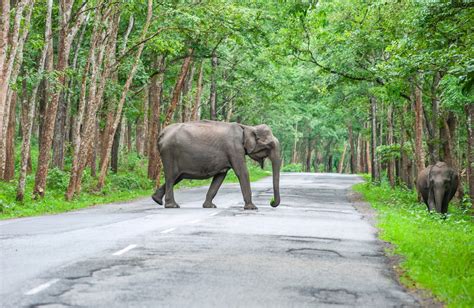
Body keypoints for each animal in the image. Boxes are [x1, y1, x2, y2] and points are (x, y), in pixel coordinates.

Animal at [151, 120, 282, 209]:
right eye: (269, 145)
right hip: (169, 153)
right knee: (171, 176)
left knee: (177, 177)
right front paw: (252, 208)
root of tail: (161, 134)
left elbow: (220, 176)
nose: (271, 202)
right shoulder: (234, 148)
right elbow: (242, 172)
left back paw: (156, 200)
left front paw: (209, 206)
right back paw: (172, 205)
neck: (246, 127)